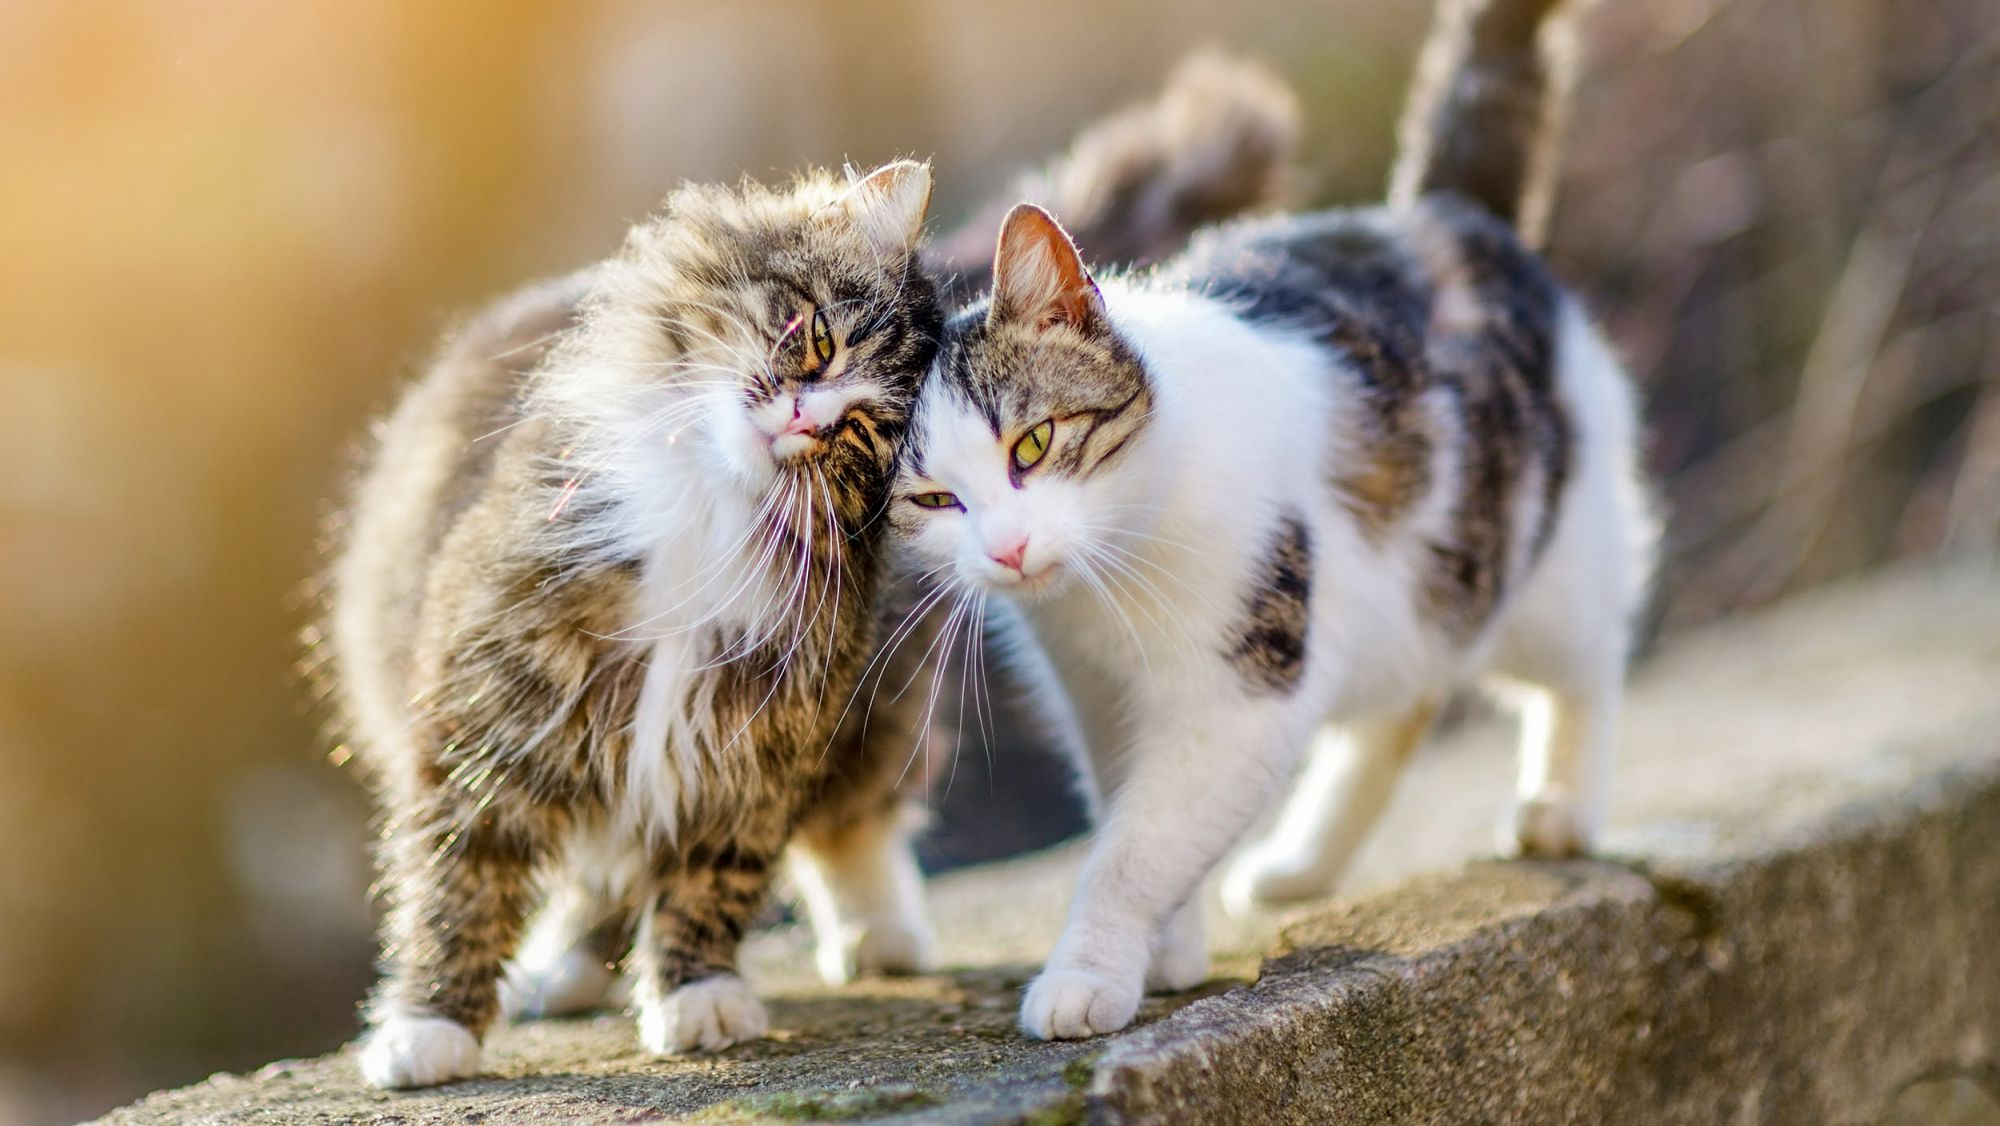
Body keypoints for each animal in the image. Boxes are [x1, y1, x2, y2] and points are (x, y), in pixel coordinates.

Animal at [326, 57, 1296, 1088]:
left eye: (863, 432)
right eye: (819, 340)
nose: (804, 417)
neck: (711, 514)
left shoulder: (759, 727)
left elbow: (712, 873)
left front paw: (697, 995)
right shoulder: (504, 704)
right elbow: (460, 882)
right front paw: (430, 1024)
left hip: (879, 703)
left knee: (848, 823)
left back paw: (878, 935)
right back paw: (567, 971)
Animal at [892, 0, 1656, 1048]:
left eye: (1034, 443)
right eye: (931, 500)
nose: (1006, 549)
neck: (1111, 583)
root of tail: (1441, 213)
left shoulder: (1240, 691)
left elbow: (1135, 847)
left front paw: (1087, 974)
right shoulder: (1096, 692)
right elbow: (1129, 809)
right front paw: (1167, 950)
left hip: (1538, 561)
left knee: (1584, 664)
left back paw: (1562, 805)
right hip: (1403, 598)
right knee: (1403, 704)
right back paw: (1303, 862)